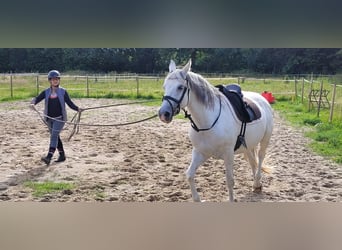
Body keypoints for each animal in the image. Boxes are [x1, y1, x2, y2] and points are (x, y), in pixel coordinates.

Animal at [159, 59, 274, 202]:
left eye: (180, 87)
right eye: (164, 86)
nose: (163, 114)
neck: (208, 122)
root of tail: (262, 99)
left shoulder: (228, 154)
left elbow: (230, 180)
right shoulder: (200, 152)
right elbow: (189, 175)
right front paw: (198, 199)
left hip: (265, 141)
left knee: (260, 157)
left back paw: (257, 181)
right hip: (248, 146)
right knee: (252, 161)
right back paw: (256, 184)